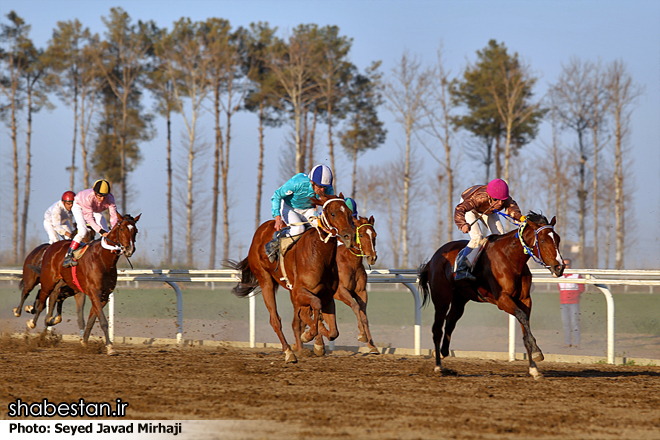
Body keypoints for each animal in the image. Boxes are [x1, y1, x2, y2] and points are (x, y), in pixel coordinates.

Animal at [26, 213, 141, 354]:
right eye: (123, 229)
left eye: (135, 231)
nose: (130, 249)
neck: (104, 260)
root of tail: (51, 246)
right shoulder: (94, 292)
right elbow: (103, 321)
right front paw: (110, 346)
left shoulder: (104, 295)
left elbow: (92, 319)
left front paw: (84, 342)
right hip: (48, 281)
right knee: (42, 301)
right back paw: (32, 322)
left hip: (61, 284)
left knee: (52, 299)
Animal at [229, 194, 358, 362]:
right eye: (333, 214)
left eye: (349, 213)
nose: (349, 237)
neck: (318, 254)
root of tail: (260, 231)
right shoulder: (299, 292)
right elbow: (315, 307)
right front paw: (309, 336)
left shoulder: (327, 296)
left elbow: (333, 331)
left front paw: (317, 343)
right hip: (265, 280)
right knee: (275, 319)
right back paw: (289, 352)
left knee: (298, 319)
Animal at [420, 212, 564, 378]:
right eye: (542, 240)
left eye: (558, 239)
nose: (560, 267)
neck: (511, 258)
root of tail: (433, 258)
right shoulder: (502, 300)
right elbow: (521, 316)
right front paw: (537, 353)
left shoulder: (525, 300)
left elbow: (525, 326)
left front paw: (534, 368)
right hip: (441, 298)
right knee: (437, 329)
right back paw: (438, 365)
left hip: (460, 299)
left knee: (450, 321)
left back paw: (443, 353)